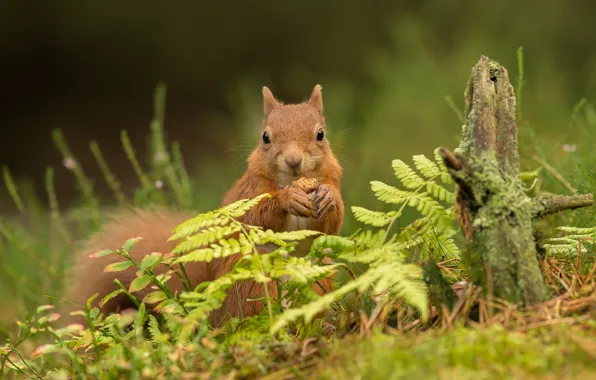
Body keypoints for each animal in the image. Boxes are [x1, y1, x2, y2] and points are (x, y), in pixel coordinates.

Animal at [62, 84, 342, 328]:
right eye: (265, 137)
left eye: (320, 134)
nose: (294, 161)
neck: (291, 181)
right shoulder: (250, 192)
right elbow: (258, 216)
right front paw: (287, 199)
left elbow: (330, 224)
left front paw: (328, 197)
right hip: (249, 280)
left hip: (317, 274)